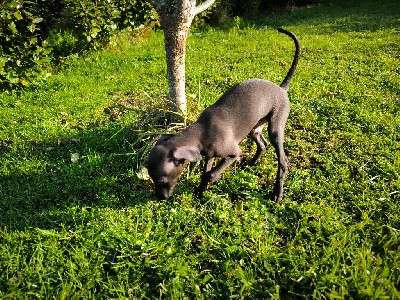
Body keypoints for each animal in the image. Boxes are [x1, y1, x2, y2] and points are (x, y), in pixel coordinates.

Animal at [148, 28, 300, 200]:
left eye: (161, 180)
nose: (161, 198)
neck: (201, 131)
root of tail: (281, 88)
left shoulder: (233, 153)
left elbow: (210, 173)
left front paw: (214, 178)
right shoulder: (210, 155)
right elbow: (205, 172)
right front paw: (200, 193)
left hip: (275, 127)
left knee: (283, 161)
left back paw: (277, 192)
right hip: (255, 128)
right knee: (263, 144)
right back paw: (252, 163)